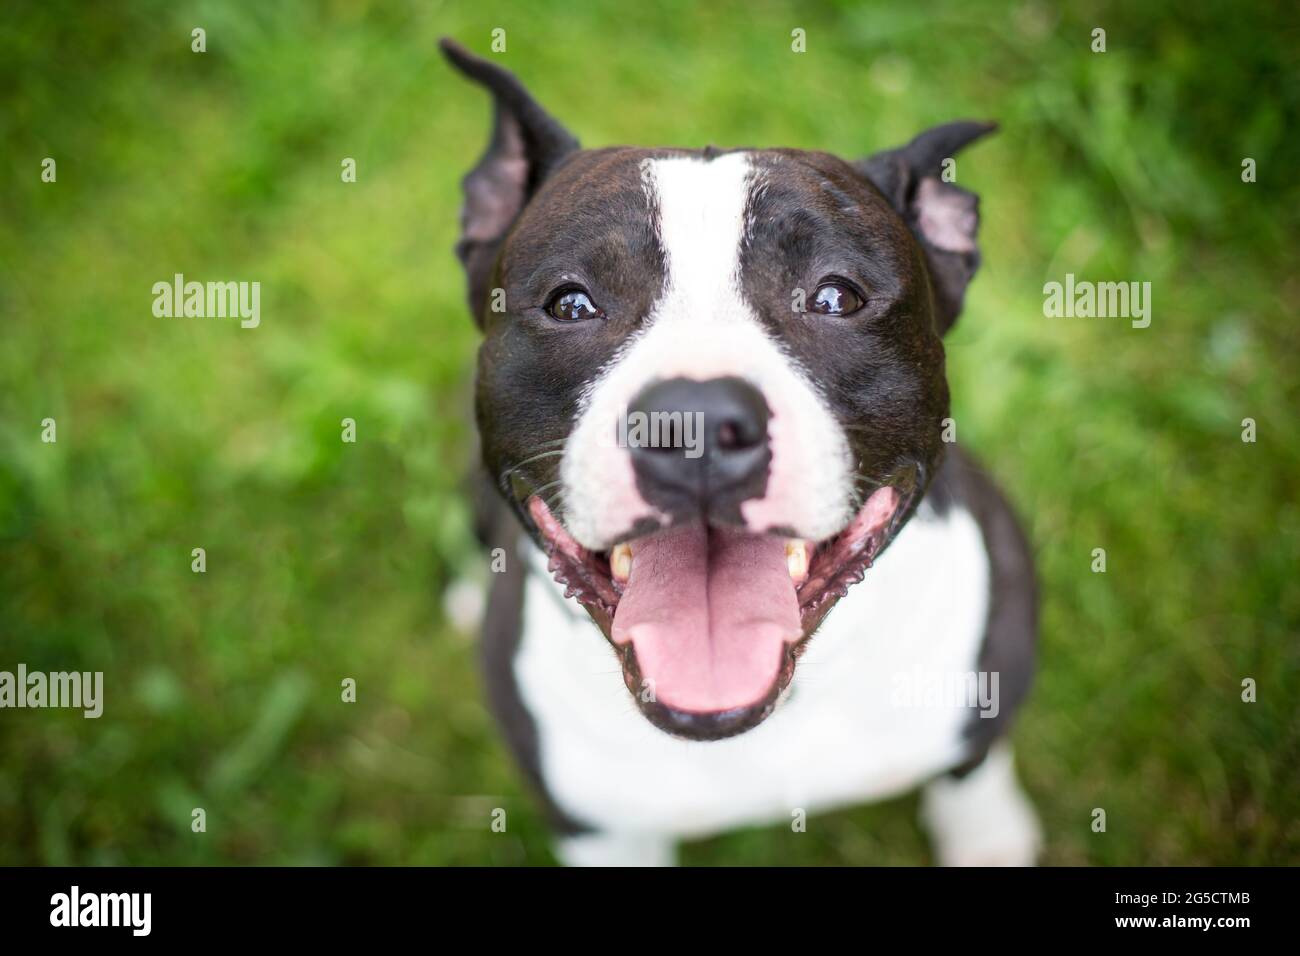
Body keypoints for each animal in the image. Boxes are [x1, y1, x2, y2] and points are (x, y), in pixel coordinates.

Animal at [441, 39, 1040, 868]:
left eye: (836, 296)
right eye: (570, 302)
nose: (693, 424)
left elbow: (972, 766)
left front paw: (987, 836)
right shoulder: (599, 829)